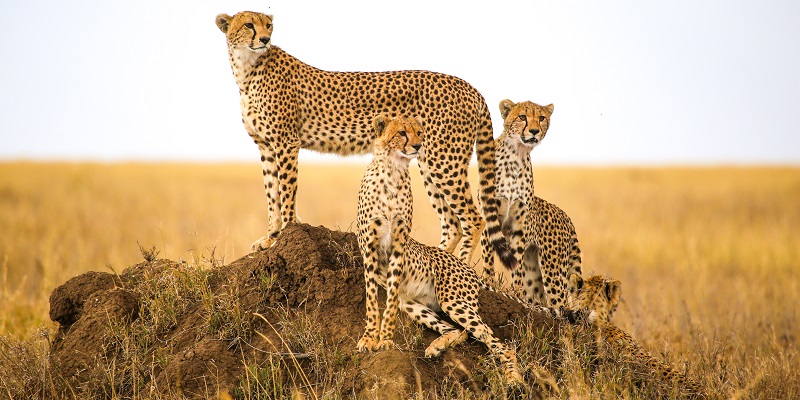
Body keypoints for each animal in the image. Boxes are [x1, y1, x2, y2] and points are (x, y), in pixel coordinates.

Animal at [214, 12, 512, 270]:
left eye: (268, 26)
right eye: (249, 25)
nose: (265, 39)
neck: (247, 68)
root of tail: (469, 87)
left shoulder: (286, 142)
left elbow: (286, 192)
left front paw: (284, 234)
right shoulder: (265, 145)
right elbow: (271, 194)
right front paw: (270, 238)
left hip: (444, 160)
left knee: (473, 219)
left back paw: (459, 267)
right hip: (428, 160)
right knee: (452, 223)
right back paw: (434, 263)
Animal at [356, 115, 524, 384]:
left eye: (419, 132)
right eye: (402, 133)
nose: (418, 146)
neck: (392, 171)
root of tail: (467, 268)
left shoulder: (398, 246)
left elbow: (388, 303)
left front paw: (386, 340)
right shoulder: (370, 247)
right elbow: (372, 299)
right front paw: (369, 338)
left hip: (454, 301)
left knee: (498, 342)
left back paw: (513, 379)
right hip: (413, 304)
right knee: (460, 331)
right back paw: (436, 346)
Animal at [478, 100, 580, 306]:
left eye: (541, 118)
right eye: (522, 117)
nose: (534, 131)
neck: (516, 155)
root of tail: (565, 215)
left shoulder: (519, 225)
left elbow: (516, 262)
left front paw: (516, 292)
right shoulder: (489, 215)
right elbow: (488, 257)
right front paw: (488, 282)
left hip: (553, 269)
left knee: (560, 303)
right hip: (537, 271)